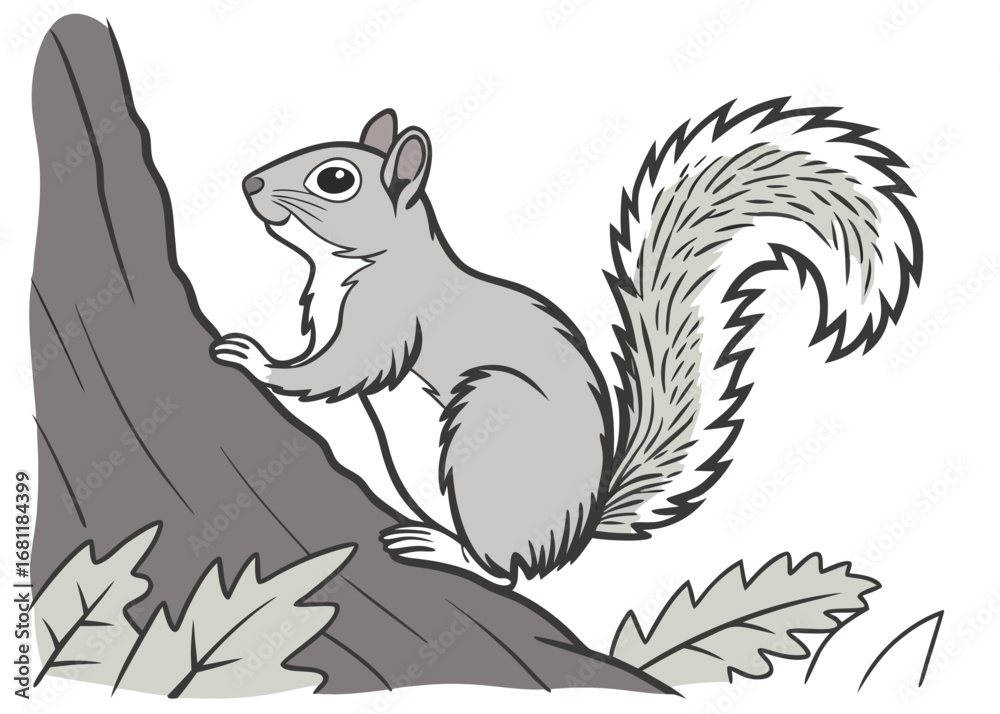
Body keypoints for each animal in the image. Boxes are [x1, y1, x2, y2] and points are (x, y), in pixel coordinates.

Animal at [211, 99, 921, 588]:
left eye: (335, 179)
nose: (247, 184)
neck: (370, 260)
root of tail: (576, 531)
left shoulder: (389, 317)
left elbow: (340, 370)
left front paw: (257, 361)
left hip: (489, 428)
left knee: (507, 572)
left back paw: (446, 551)